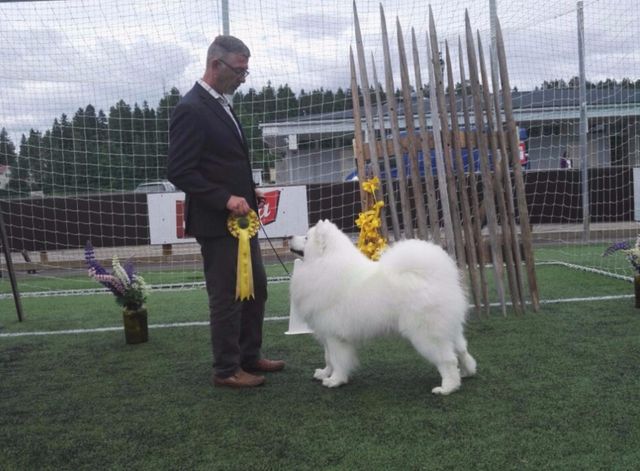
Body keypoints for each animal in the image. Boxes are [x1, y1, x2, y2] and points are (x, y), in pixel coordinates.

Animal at [290, 220, 476, 394]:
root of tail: (439, 277)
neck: (323, 265)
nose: (289, 237)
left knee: (448, 359)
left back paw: (448, 387)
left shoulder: (335, 335)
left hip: (426, 334)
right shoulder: (326, 332)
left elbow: (337, 360)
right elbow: (328, 357)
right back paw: (467, 372)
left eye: (306, 238)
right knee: (461, 349)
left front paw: (335, 380)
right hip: (449, 328)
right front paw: (324, 373)